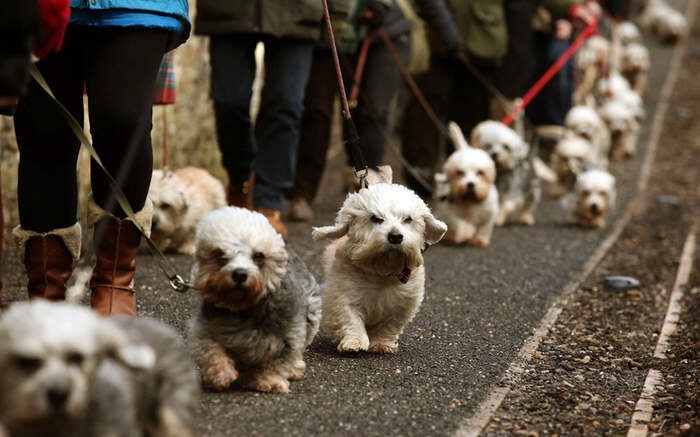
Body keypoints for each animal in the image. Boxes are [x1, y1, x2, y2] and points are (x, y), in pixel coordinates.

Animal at [314, 181, 446, 354]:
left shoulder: (404, 305)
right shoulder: (343, 297)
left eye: (408, 219)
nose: (395, 236)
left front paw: (382, 344)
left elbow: (389, 326)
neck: (381, 272)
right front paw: (354, 342)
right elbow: (351, 320)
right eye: (375, 218)